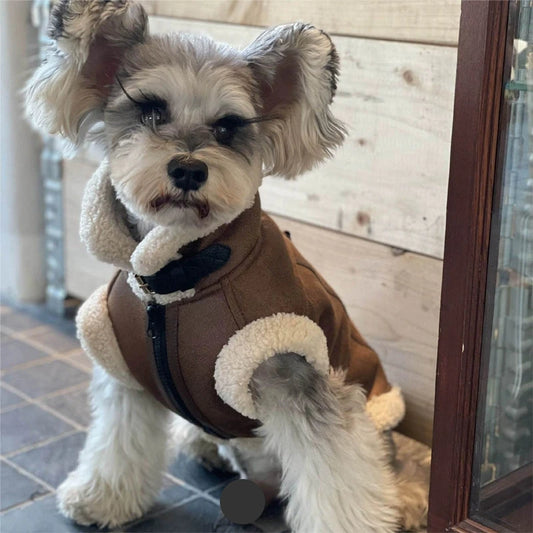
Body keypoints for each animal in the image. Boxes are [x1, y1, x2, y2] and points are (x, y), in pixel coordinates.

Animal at [23, 2, 428, 528]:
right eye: (150, 110)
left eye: (227, 128)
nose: (189, 170)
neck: (178, 278)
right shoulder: (124, 368)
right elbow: (117, 440)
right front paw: (101, 497)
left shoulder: (298, 379)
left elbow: (338, 483)